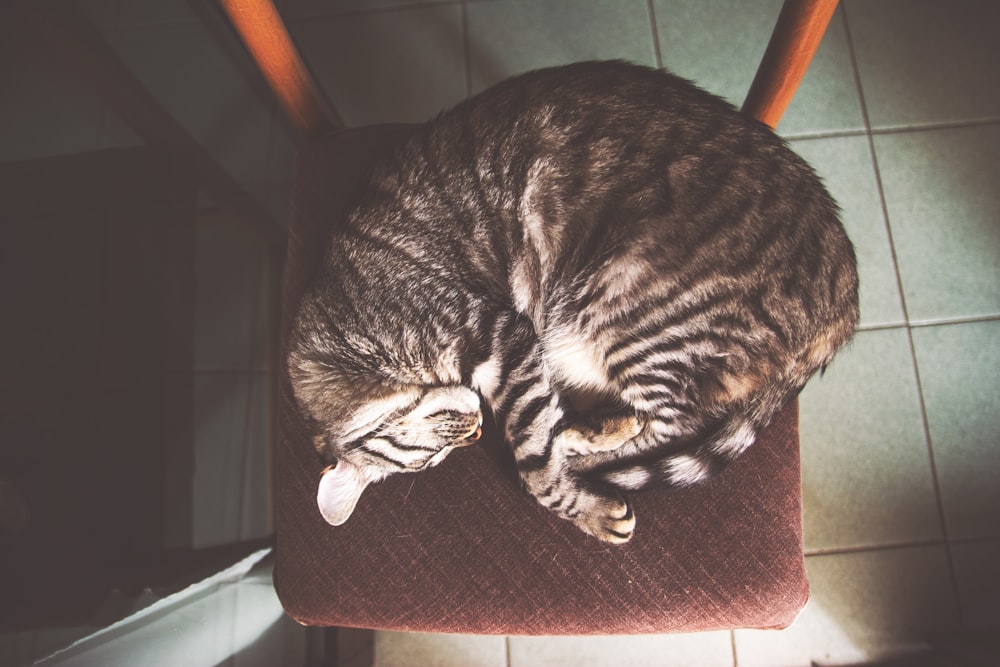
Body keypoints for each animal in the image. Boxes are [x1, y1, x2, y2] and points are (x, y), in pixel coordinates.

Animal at [288, 61, 860, 544]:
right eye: (439, 456)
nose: (475, 432)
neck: (345, 327)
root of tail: (847, 298)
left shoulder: (499, 334)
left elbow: (534, 462)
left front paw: (583, 505)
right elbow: (536, 438)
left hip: (626, 311)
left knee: (673, 425)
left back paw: (584, 445)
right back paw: (596, 428)